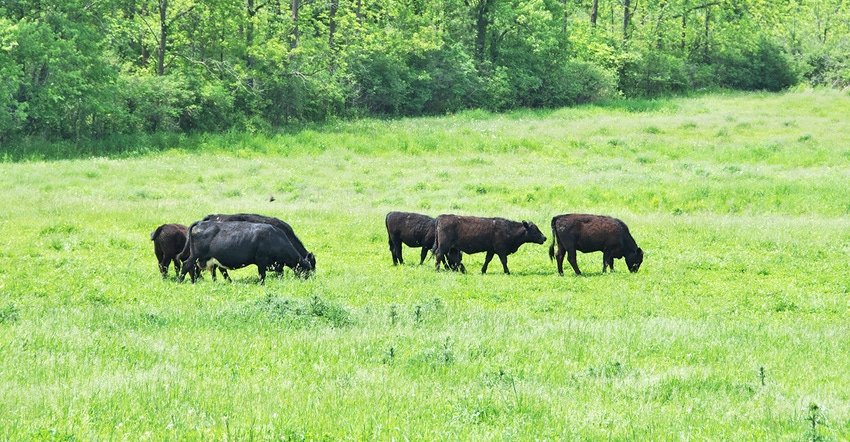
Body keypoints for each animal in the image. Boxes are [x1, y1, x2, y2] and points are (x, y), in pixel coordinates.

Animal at [181, 220, 314, 284]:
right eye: (308, 269)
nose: (310, 280)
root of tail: (201, 223)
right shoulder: (261, 261)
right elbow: (262, 276)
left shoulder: (277, 265)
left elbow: (280, 274)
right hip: (195, 256)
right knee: (187, 265)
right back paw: (181, 281)